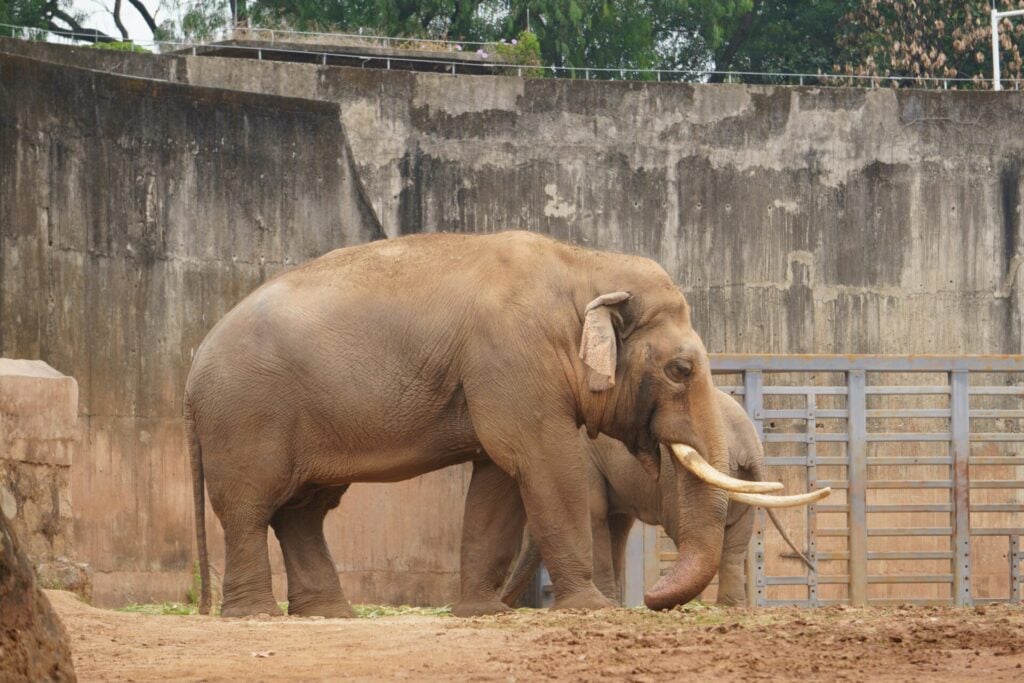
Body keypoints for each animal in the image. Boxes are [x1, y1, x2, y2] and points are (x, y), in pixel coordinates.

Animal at [499, 389, 819, 609]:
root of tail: (751, 446)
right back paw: (729, 607)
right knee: (734, 544)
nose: (504, 601)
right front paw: (614, 604)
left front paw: (609, 605)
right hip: (744, 482)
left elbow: (595, 517)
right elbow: (616, 526)